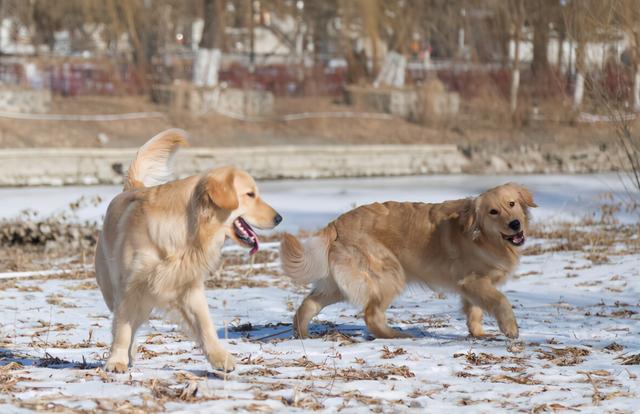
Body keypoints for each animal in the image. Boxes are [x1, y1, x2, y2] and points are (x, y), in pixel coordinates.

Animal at [96, 129, 282, 372]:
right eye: (250, 194)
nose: (279, 218)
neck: (188, 232)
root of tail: (134, 187)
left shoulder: (189, 286)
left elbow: (206, 326)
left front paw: (220, 358)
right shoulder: (131, 287)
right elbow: (122, 329)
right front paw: (116, 360)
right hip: (114, 290)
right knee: (126, 324)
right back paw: (129, 353)